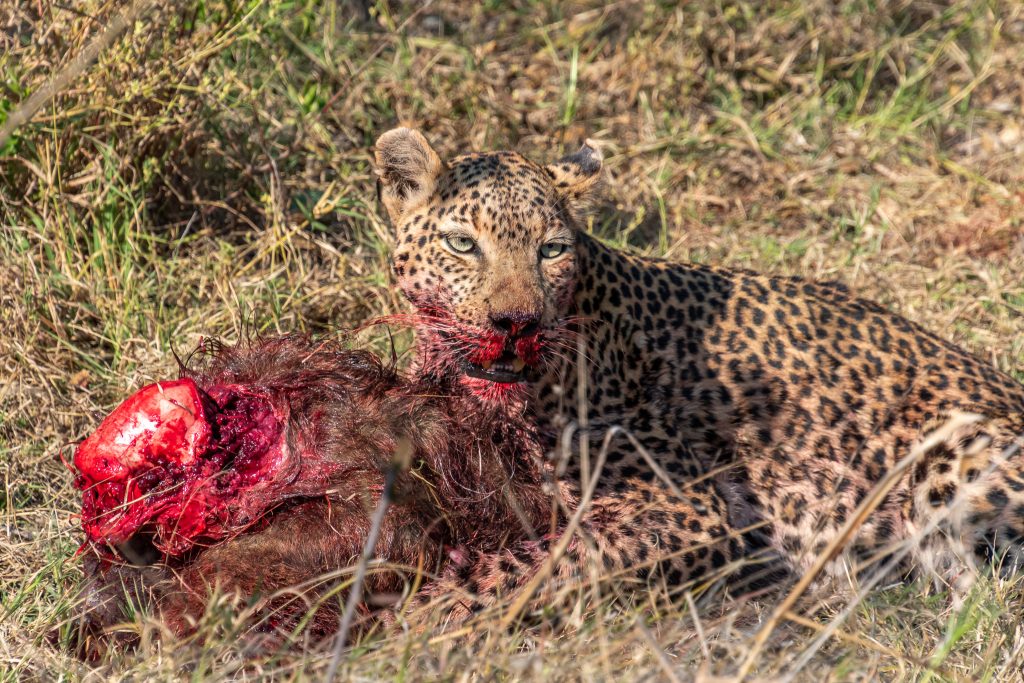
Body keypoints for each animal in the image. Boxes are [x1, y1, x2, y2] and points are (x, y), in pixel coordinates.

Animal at [372, 127, 1024, 621]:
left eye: (550, 251)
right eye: (462, 244)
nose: (516, 323)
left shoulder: (690, 510)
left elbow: (553, 562)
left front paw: (427, 609)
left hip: (950, 461)